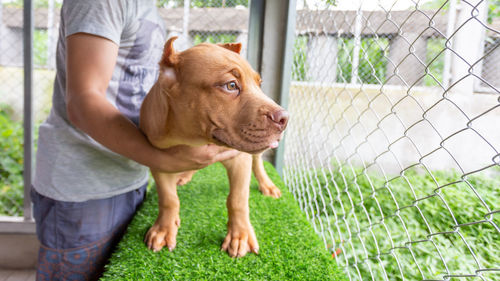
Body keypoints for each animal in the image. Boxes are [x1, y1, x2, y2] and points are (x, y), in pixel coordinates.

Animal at [141, 36, 290, 256]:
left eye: (259, 84)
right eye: (231, 85)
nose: (285, 118)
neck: (194, 139)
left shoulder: (240, 158)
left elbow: (237, 199)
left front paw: (240, 236)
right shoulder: (157, 161)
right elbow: (168, 198)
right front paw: (164, 229)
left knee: (257, 162)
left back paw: (267, 185)